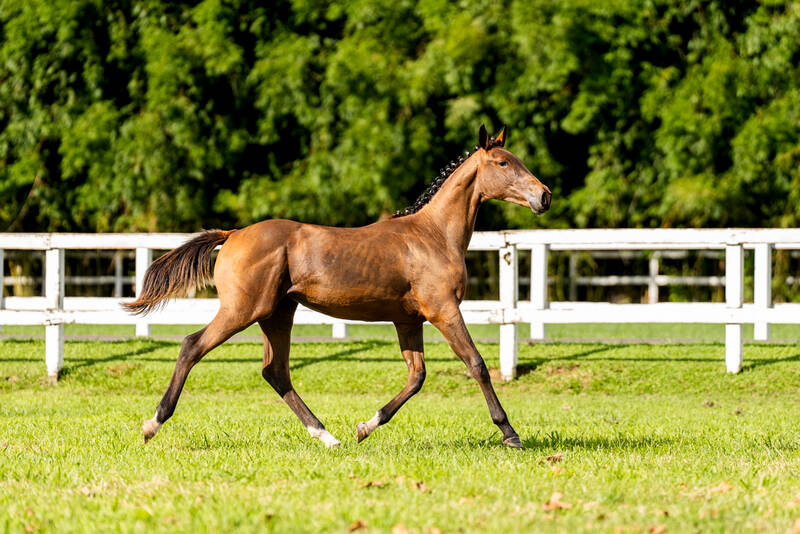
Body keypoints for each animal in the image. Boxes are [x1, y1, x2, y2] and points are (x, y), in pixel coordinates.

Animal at [126, 124, 552, 448]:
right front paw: (510, 434)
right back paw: (152, 424)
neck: (432, 235)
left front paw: (364, 427)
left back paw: (327, 436)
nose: (544, 196)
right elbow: (476, 364)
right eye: (503, 162)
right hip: (242, 310)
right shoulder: (442, 310)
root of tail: (232, 235)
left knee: (275, 371)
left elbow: (416, 376)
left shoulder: (408, 321)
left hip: (276, 314)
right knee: (192, 346)